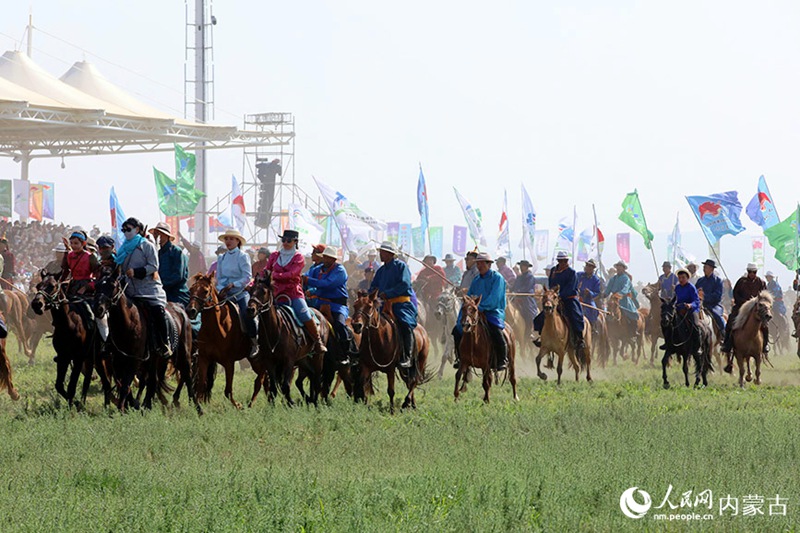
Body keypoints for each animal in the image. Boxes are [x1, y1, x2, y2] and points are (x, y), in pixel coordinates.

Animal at [30, 270, 111, 408]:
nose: (37, 304)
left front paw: (74, 405)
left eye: (52, 285)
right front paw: (76, 403)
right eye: (38, 286)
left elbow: (71, 386)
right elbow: (59, 385)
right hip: (96, 358)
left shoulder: (78, 358)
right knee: (103, 383)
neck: (68, 323)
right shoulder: (64, 357)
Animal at [94, 268, 200, 414]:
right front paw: (131, 405)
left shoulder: (134, 360)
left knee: (187, 376)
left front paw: (122, 408)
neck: (128, 323)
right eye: (97, 285)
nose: (98, 308)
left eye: (112, 285)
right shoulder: (118, 361)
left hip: (183, 355)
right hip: (155, 359)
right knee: (153, 381)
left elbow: (126, 384)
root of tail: (181, 309)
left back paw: (197, 408)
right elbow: (124, 384)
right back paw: (147, 405)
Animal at [247, 272, 328, 406]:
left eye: (264, 291)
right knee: (309, 377)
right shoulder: (269, 361)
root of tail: (322, 317)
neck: (275, 330)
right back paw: (310, 400)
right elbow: (273, 389)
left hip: (318, 357)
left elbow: (285, 386)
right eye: (250, 290)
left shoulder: (289, 361)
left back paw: (316, 404)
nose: (250, 309)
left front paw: (292, 404)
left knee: (316, 380)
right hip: (303, 359)